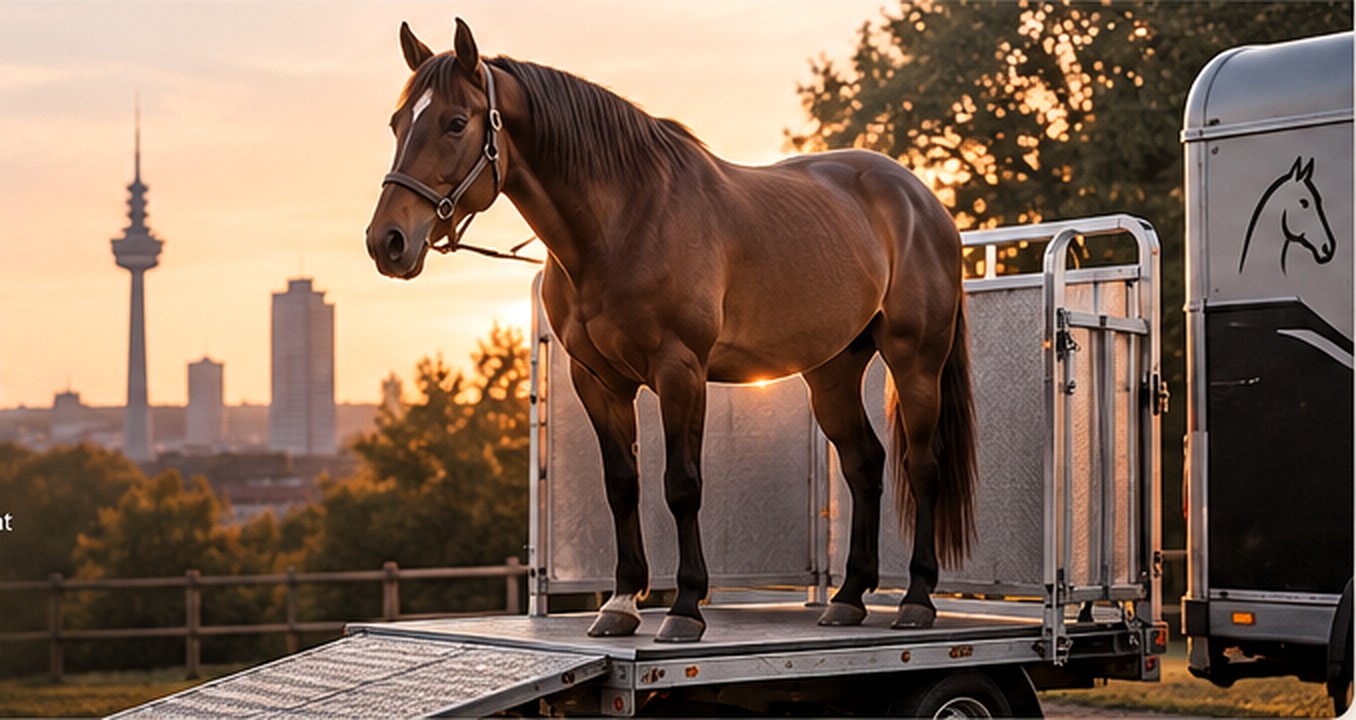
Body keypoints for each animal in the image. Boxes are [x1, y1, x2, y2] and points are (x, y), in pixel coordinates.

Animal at [364, 19, 977, 643]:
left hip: (915, 361)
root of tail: (922, 201)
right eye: (397, 122)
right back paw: (849, 596)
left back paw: (917, 599)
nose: (387, 241)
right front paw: (619, 604)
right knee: (864, 464)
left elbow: (681, 484)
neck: (624, 221)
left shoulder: (680, 371)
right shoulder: (598, 381)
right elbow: (622, 485)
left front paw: (685, 606)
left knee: (921, 466)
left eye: (455, 122)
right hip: (832, 371)